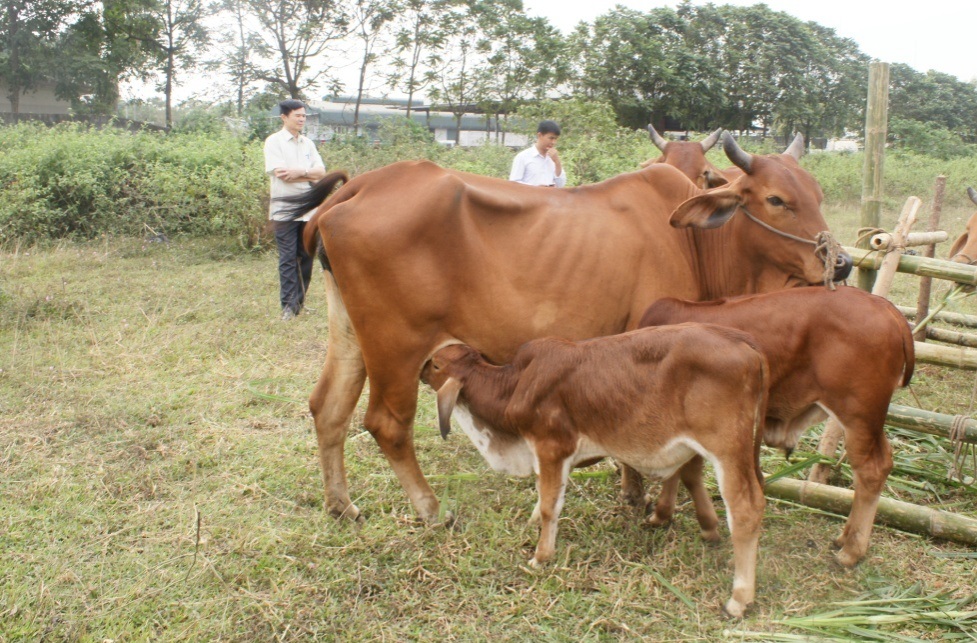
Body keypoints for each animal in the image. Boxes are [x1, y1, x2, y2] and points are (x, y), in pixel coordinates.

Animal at [278, 132, 852, 528]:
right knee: (387, 424)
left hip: (351, 333)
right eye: (775, 199)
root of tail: (363, 183)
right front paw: (638, 496)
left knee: (328, 408)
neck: (694, 241)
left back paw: (341, 505)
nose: (843, 263)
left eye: (818, 193)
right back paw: (430, 510)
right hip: (396, 344)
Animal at [420, 328, 772, 620]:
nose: (421, 371)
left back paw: (739, 599)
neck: (515, 385)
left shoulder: (552, 446)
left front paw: (541, 556)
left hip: (728, 450)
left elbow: (550, 506)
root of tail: (743, 341)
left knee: (746, 509)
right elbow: (542, 495)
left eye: (436, 365)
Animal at [636, 284, 912, 568]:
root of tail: (884, 307)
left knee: (871, 470)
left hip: (858, 415)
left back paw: (851, 550)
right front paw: (663, 514)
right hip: (868, 421)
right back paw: (845, 537)